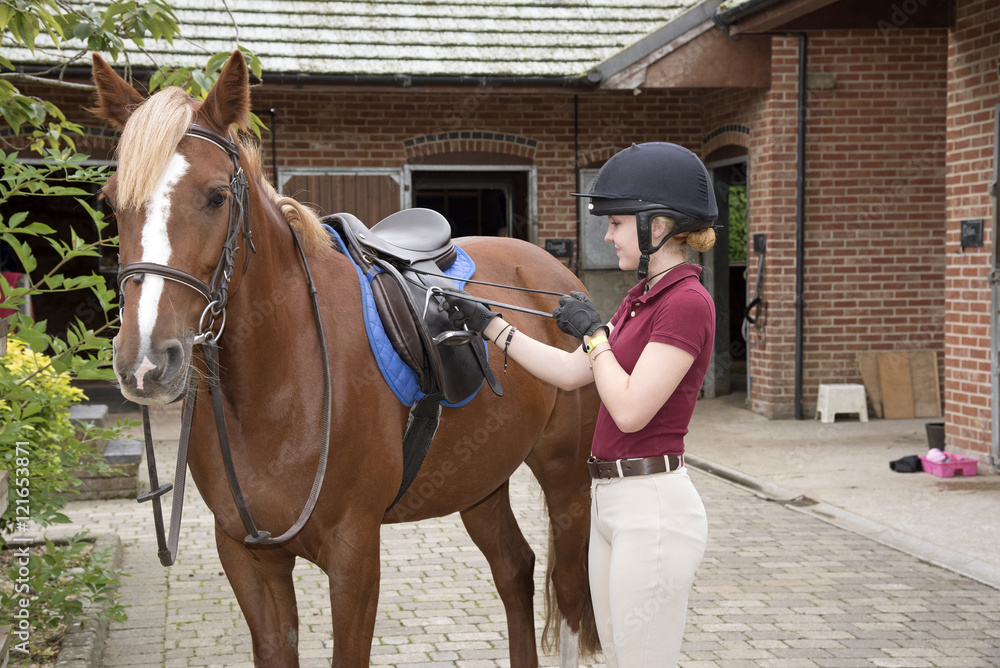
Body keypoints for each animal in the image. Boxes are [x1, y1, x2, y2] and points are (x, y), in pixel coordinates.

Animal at [90, 49, 596, 664]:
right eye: (110, 202)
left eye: (215, 196)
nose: (144, 360)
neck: (279, 383)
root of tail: (553, 274)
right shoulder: (246, 557)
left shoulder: (354, 555)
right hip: (481, 480)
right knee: (514, 569)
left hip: (567, 478)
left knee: (568, 596)